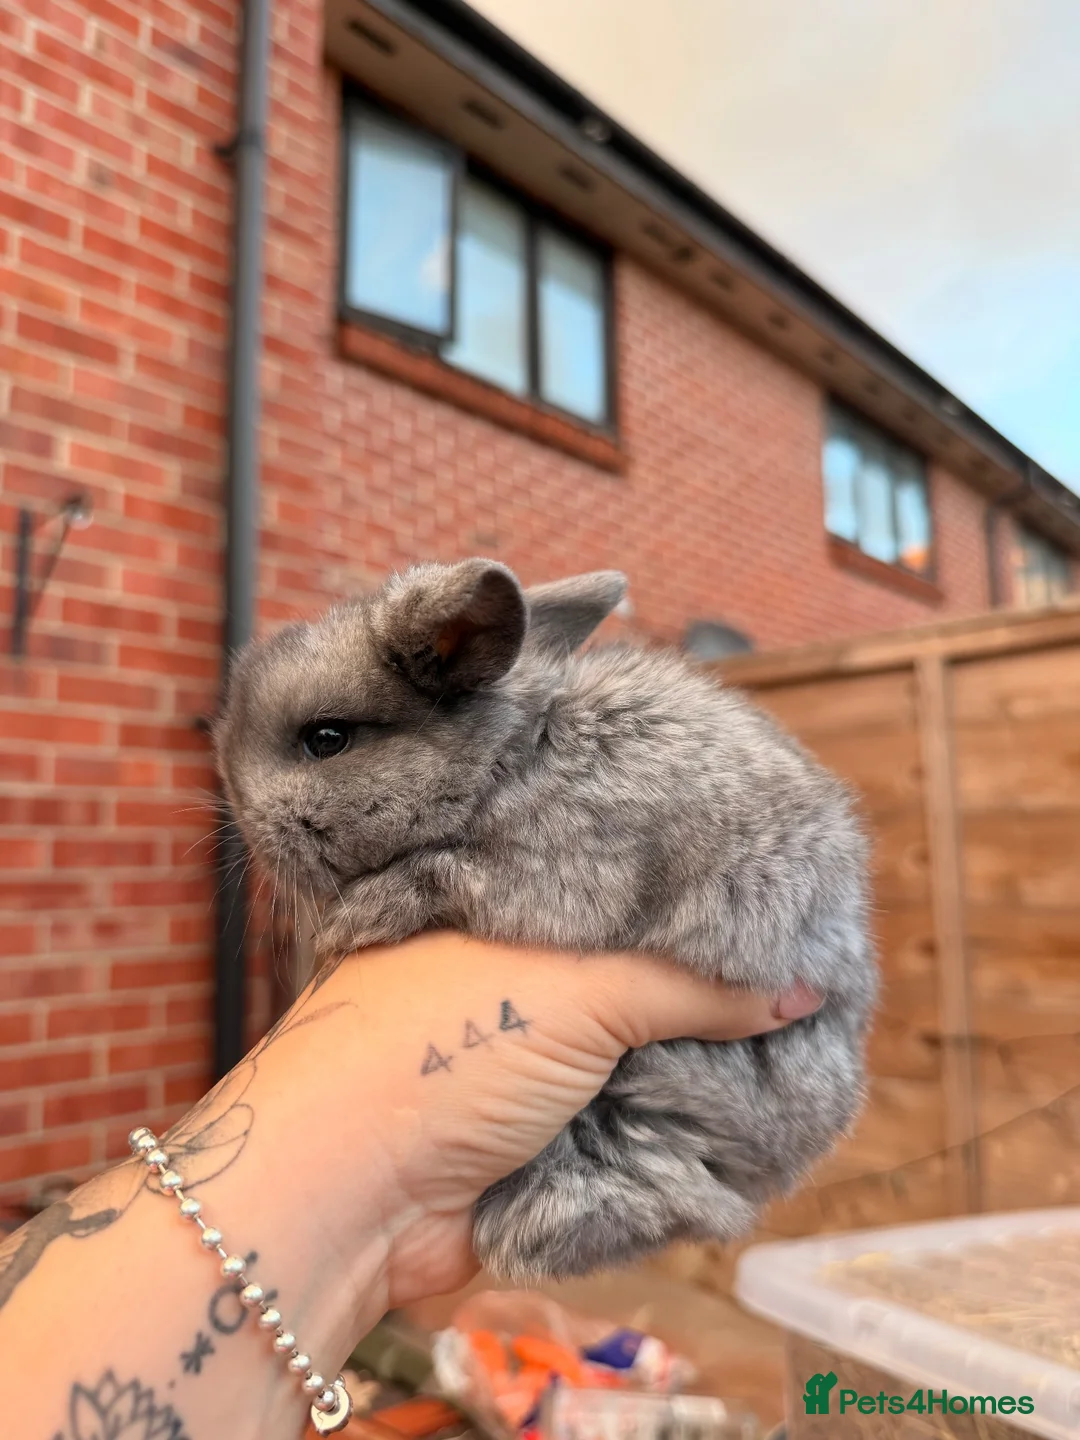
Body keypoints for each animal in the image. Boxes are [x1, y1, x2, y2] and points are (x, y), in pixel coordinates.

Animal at [213, 558, 876, 1281]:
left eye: (326, 740)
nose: (246, 827)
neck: (509, 761)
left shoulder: (559, 871)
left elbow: (441, 873)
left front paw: (350, 921)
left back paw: (518, 1237)